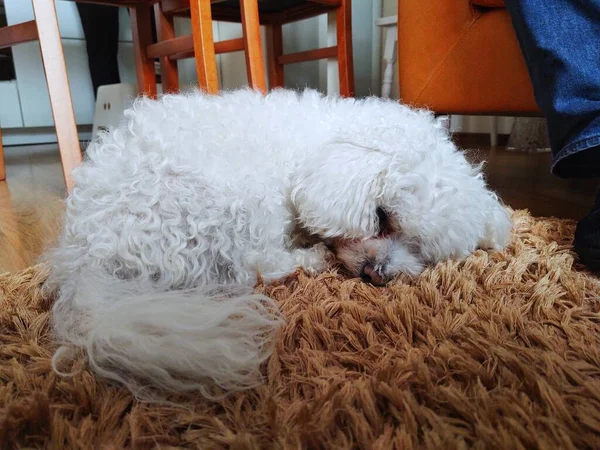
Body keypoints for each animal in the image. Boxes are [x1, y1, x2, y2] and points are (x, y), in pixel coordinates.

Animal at [45, 88, 510, 398]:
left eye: (420, 250)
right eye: (382, 216)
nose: (376, 274)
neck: (321, 150)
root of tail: (87, 254)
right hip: (233, 200)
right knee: (252, 266)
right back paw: (311, 257)